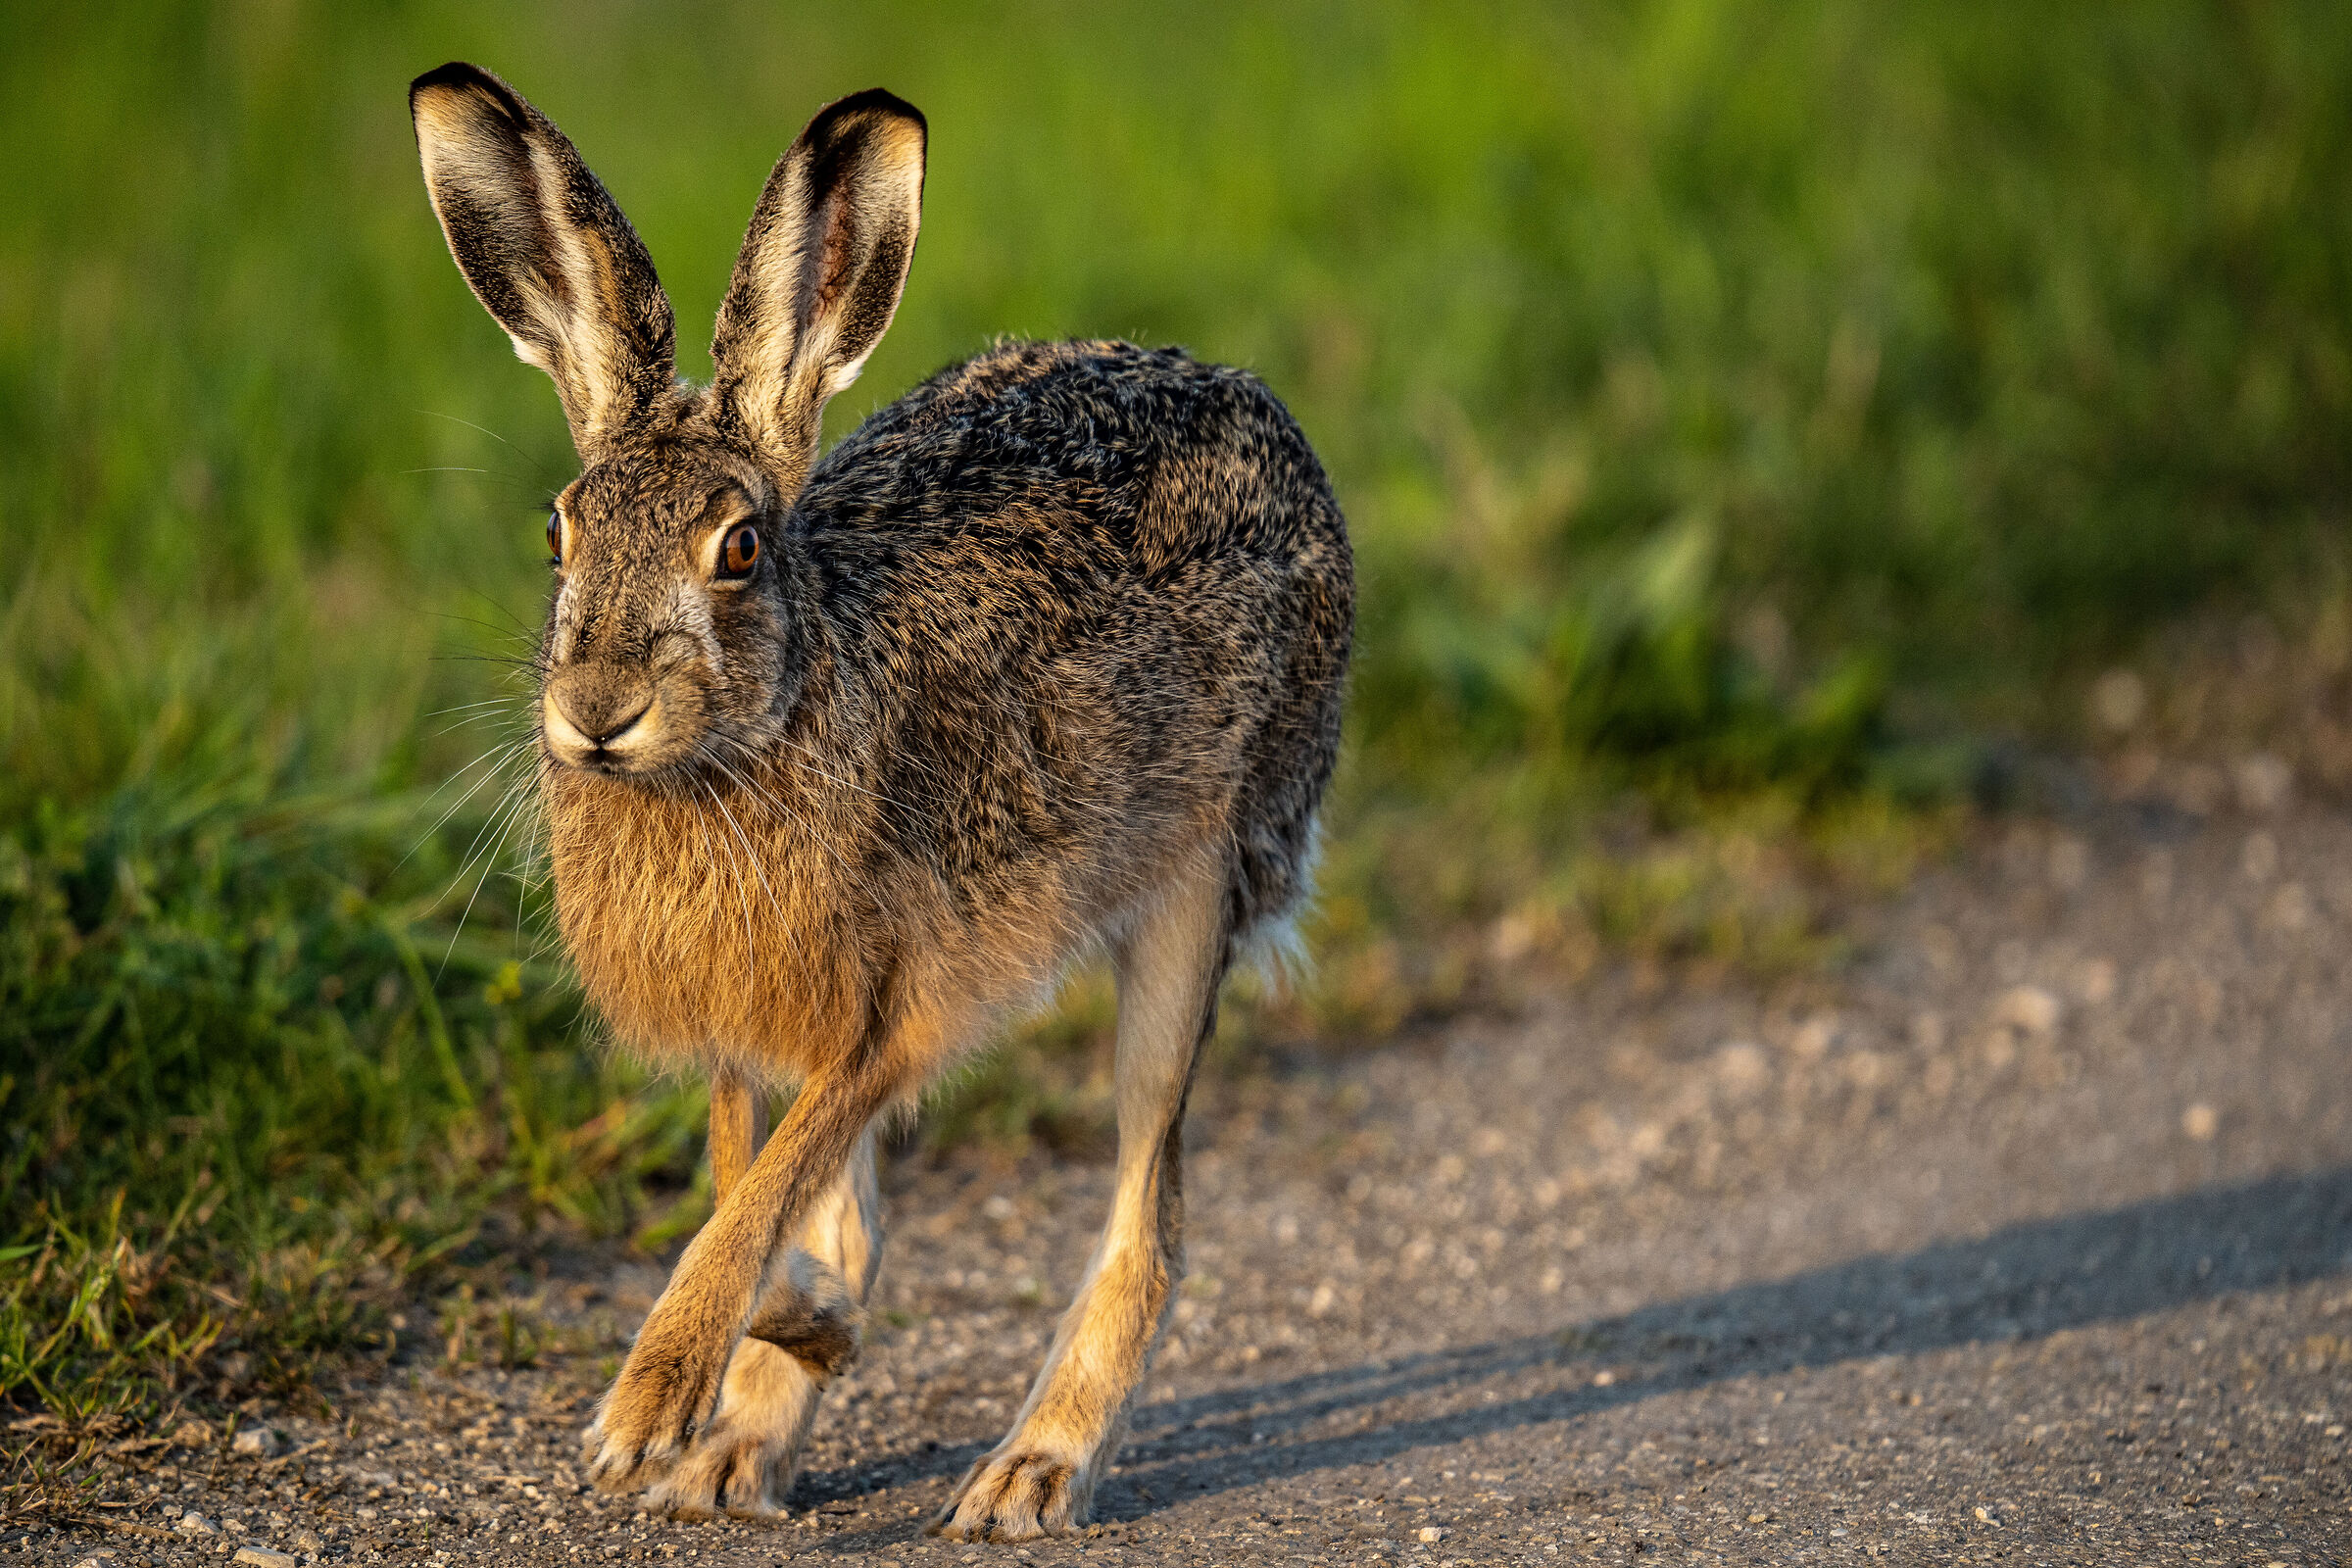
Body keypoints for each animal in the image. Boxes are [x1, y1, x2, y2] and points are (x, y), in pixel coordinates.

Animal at [408, 62, 1352, 1539]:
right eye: (557, 534)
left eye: (739, 548)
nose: (597, 712)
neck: (768, 719)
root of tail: (1263, 413)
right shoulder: (744, 1032)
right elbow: (756, 1194)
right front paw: (795, 1343)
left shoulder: (888, 1015)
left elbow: (756, 1207)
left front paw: (645, 1404)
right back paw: (745, 1445)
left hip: (1205, 874)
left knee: (1149, 1205)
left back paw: (1030, 1472)